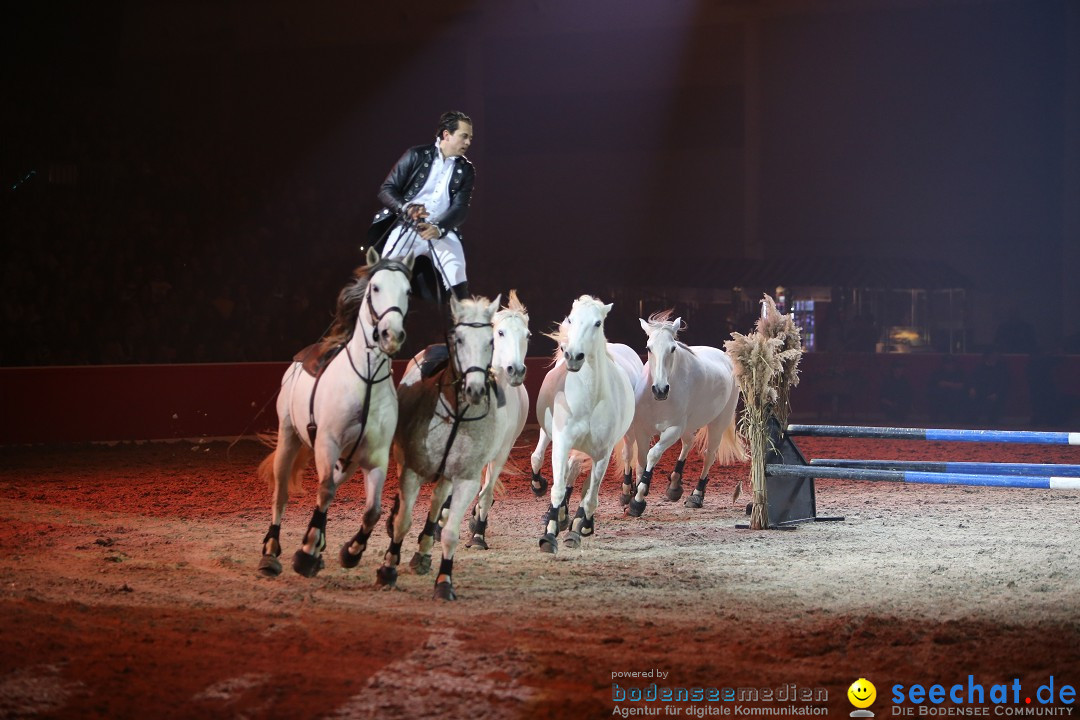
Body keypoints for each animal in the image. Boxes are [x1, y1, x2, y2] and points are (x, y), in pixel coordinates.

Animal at [254, 250, 414, 578]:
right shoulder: (327, 444)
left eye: (408, 291)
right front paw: (306, 555)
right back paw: (271, 553)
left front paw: (349, 552)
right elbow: (325, 491)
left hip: (349, 460)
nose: (391, 334)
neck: (365, 382)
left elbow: (372, 511)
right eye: (375, 287)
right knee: (281, 495)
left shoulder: (375, 456)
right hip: (289, 437)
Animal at [378, 293, 498, 604]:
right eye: (460, 339)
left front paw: (444, 582)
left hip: (446, 477)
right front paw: (387, 570)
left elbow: (451, 532)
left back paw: (422, 553)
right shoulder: (412, 471)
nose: (475, 389)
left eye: (491, 340)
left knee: (436, 503)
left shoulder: (465, 479)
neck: (454, 413)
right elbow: (403, 521)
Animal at [410, 289, 533, 561]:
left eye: (527, 335)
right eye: (500, 333)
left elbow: (486, 493)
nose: (515, 370)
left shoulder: (500, 452)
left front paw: (478, 535)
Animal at [626, 313, 743, 515]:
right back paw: (674, 485)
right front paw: (638, 492)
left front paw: (638, 501)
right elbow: (641, 460)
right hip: (688, 426)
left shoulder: (673, 430)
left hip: (718, 423)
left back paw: (697, 495)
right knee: (689, 442)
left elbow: (652, 455)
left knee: (709, 455)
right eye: (648, 348)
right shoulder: (642, 430)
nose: (660, 390)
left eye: (673, 348)